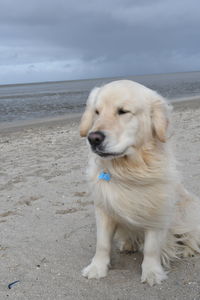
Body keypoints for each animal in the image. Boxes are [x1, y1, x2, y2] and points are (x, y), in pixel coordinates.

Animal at [79, 79, 200, 286]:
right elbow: (102, 243)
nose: (93, 138)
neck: (129, 170)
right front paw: (97, 267)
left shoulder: (158, 210)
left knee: (190, 236)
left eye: (123, 111)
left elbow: (152, 247)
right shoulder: (103, 208)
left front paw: (152, 272)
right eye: (96, 112)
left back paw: (187, 250)